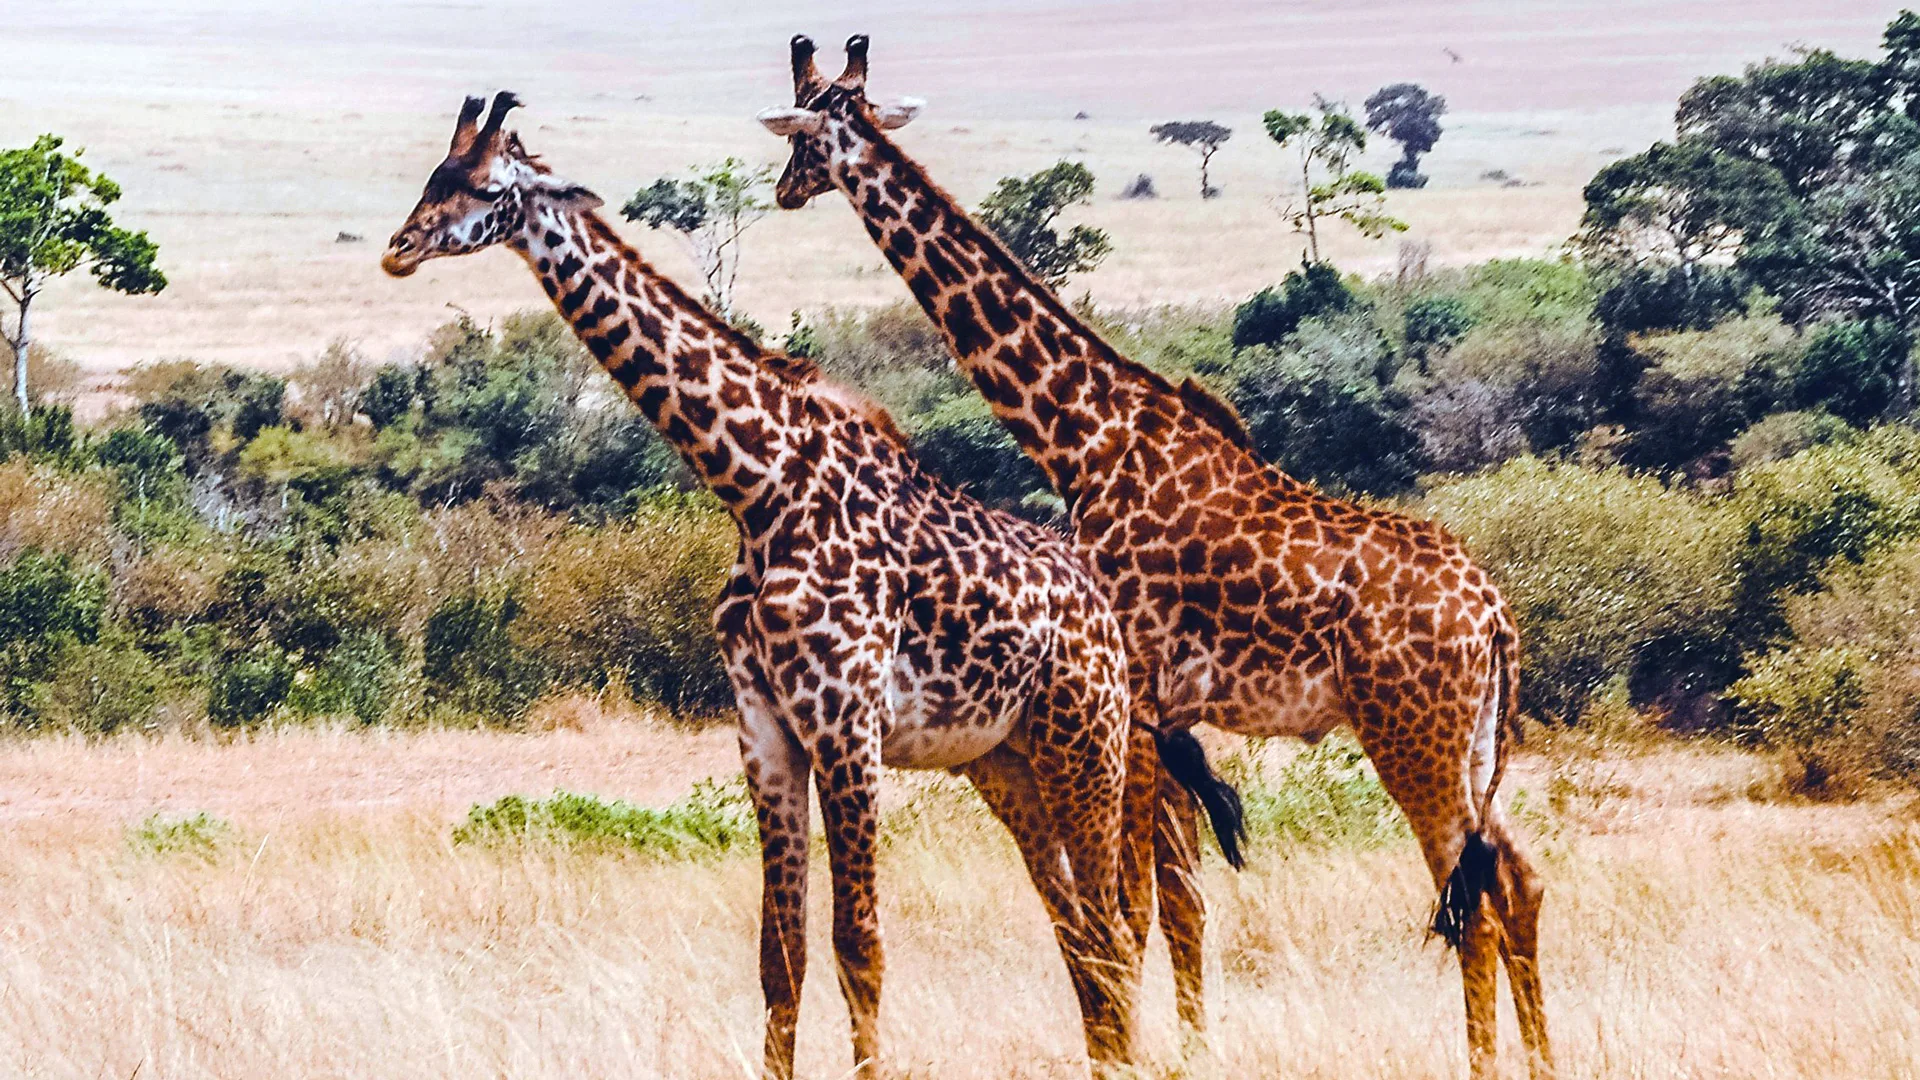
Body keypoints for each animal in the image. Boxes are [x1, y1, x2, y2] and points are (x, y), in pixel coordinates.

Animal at [380, 90, 1144, 1068]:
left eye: (482, 185)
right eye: (431, 175)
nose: (399, 248)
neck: (760, 489)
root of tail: (1103, 612)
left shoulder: (847, 724)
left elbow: (860, 943)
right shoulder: (766, 730)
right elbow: (780, 954)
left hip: (1085, 740)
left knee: (1114, 929)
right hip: (1005, 762)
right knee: (1081, 934)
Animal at [756, 35, 1551, 1076]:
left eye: (804, 132)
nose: (781, 191)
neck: (1083, 434)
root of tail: (1494, 619)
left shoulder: (1130, 701)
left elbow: (1133, 915)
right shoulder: (1162, 716)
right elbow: (1177, 906)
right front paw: (1187, 1047)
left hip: (1412, 739)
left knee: (1473, 903)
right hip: (1472, 743)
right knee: (1521, 882)